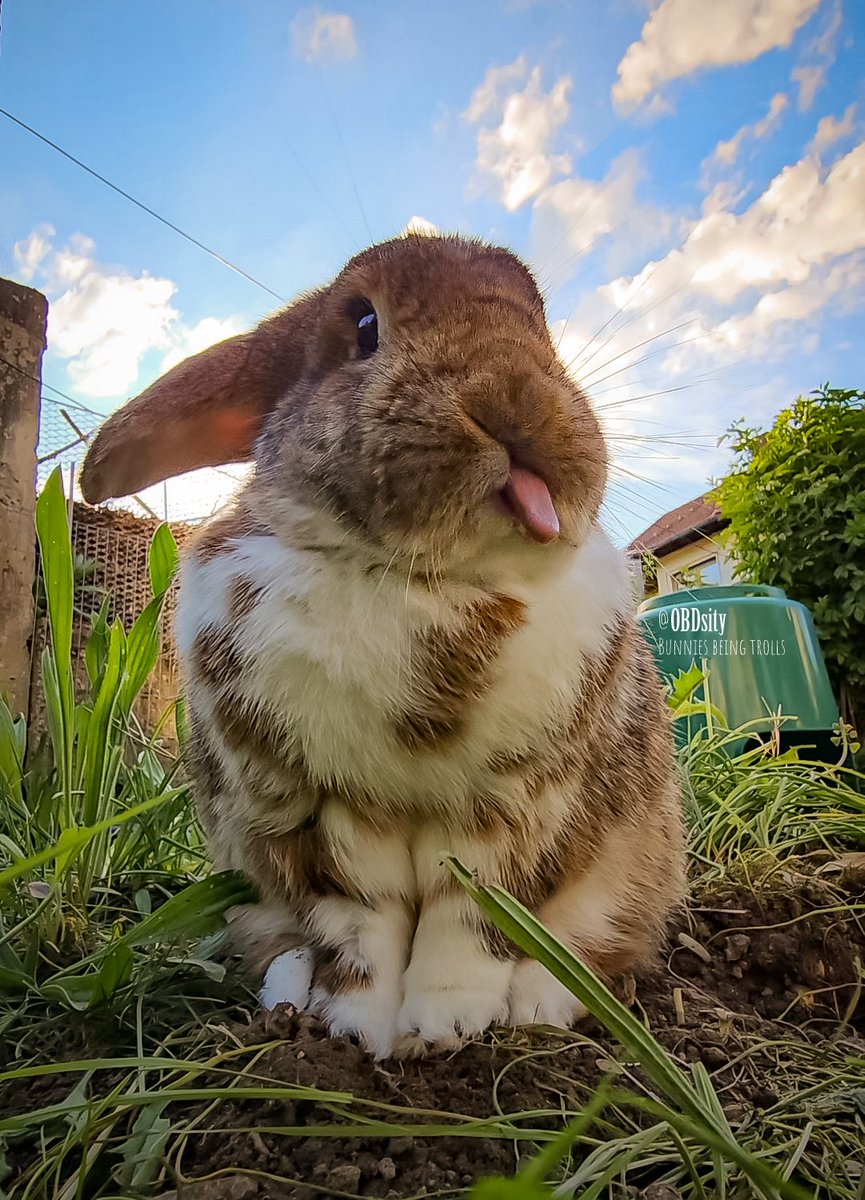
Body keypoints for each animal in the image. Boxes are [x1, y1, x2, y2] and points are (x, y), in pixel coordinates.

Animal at [82, 234, 686, 1060]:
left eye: (543, 329)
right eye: (364, 325)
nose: (514, 398)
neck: (425, 581)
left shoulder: (513, 814)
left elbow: (469, 925)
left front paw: (442, 1029)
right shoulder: (323, 816)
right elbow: (360, 928)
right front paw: (358, 1032)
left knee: (592, 945)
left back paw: (536, 1004)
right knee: (284, 944)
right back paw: (290, 1001)